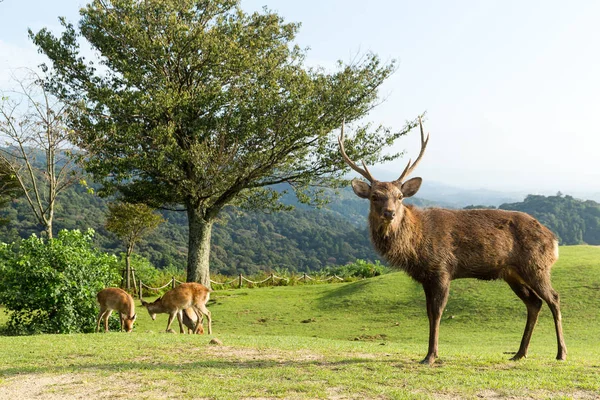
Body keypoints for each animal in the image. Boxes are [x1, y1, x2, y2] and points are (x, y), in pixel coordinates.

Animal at [340, 117, 564, 364]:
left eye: (399, 197)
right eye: (374, 196)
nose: (389, 213)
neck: (416, 247)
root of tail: (554, 240)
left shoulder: (442, 269)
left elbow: (437, 313)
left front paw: (431, 356)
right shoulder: (425, 277)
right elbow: (429, 313)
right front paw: (430, 353)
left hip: (536, 265)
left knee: (554, 298)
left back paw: (560, 353)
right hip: (512, 273)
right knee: (534, 303)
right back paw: (519, 353)